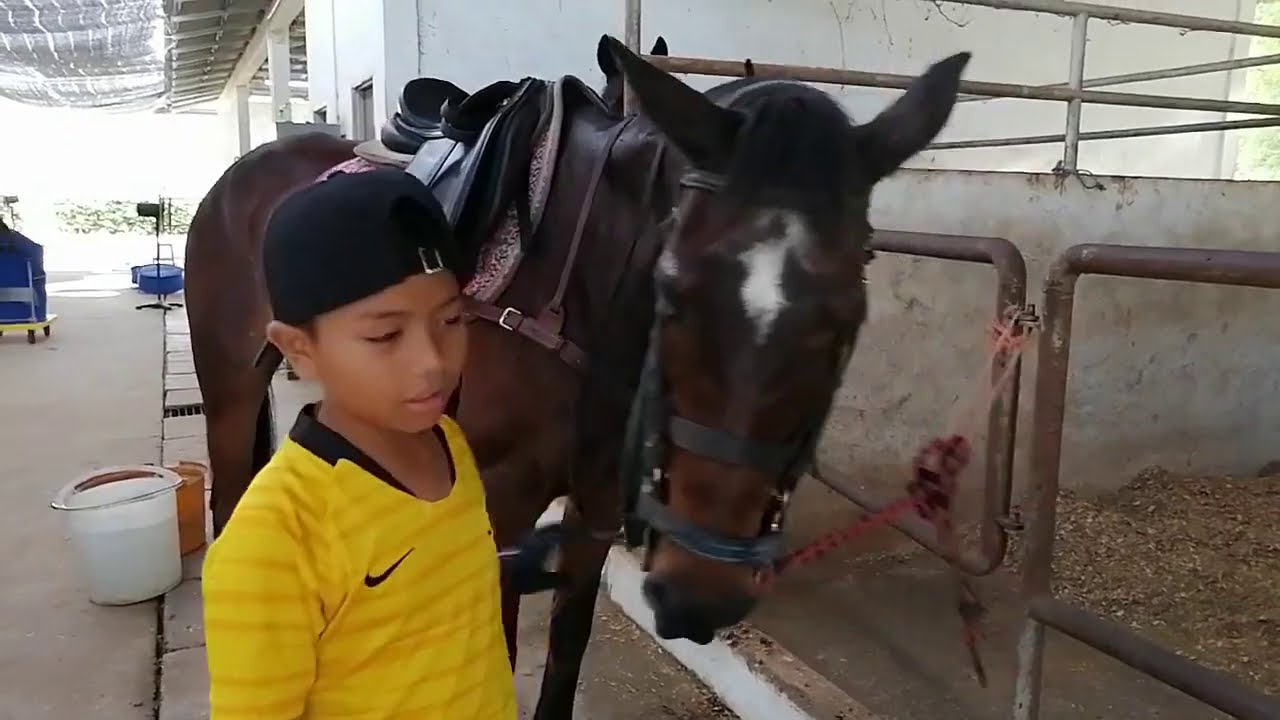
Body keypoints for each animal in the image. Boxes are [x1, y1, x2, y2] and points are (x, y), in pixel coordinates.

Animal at [184, 34, 969, 719]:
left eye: (847, 316)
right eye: (673, 291)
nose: (699, 596)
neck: (583, 288)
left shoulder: (592, 512)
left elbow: (565, 658)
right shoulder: (499, 510)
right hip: (229, 390)